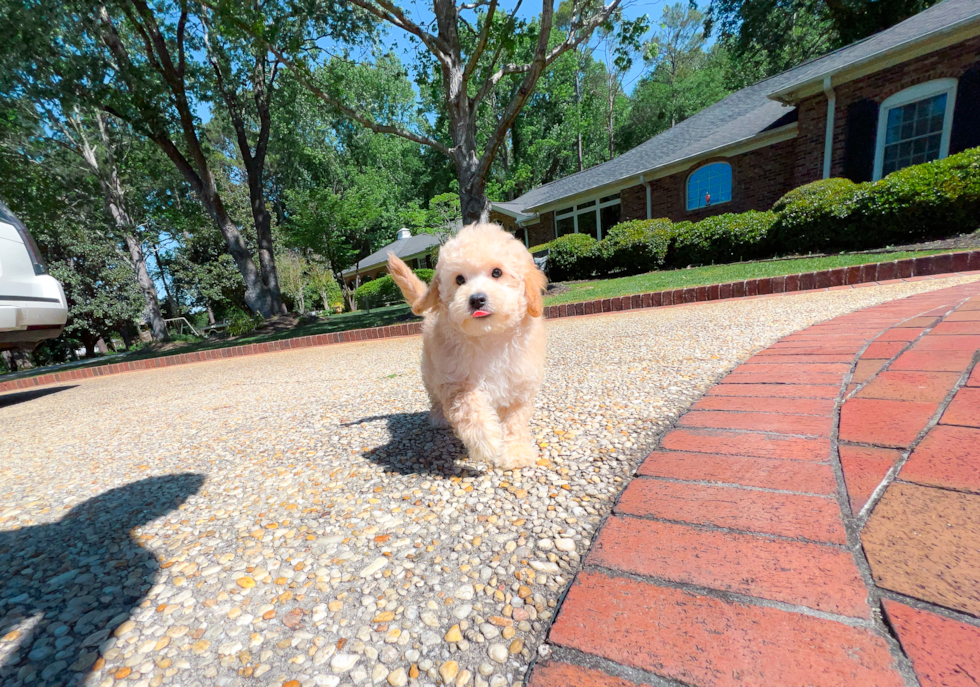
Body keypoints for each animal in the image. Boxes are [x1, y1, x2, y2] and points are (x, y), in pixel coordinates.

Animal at [386, 223, 548, 470]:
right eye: (459, 279)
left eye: (497, 272)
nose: (476, 299)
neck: (488, 337)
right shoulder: (455, 379)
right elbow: (469, 405)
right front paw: (486, 441)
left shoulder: (519, 385)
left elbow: (515, 421)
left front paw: (515, 452)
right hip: (431, 370)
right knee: (435, 397)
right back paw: (439, 418)